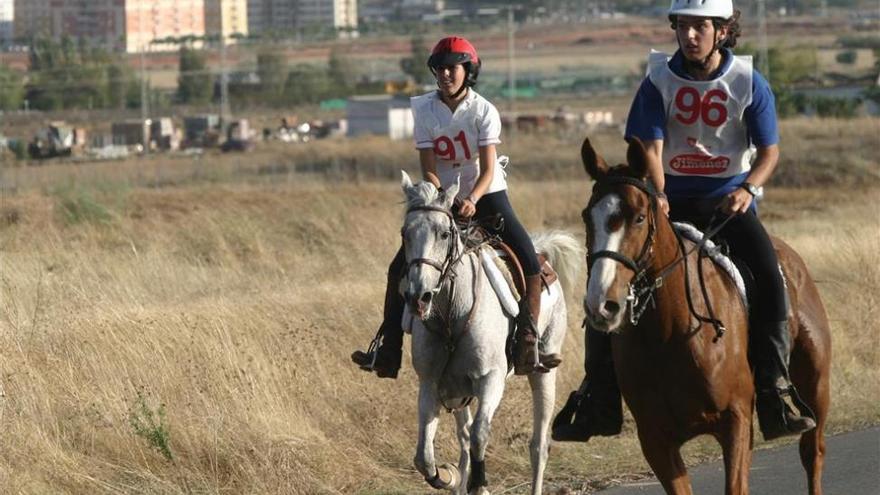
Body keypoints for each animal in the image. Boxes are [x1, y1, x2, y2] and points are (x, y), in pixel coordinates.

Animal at [400, 171, 584, 495]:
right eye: (405, 234)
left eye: (444, 234)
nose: (418, 298)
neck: (452, 313)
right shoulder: (432, 383)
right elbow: (424, 456)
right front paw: (450, 475)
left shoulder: (490, 380)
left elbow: (479, 435)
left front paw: (478, 484)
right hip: (458, 390)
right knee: (462, 437)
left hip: (544, 373)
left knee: (538, 446)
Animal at [580, 137, 828, 495]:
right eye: (587, 217)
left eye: (639, 218)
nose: (602, 304)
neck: (667, 333)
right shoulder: (655, 438)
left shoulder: (735, 421)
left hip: (816, 384)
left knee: (812, 452)